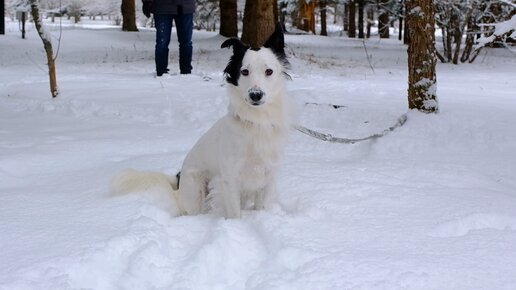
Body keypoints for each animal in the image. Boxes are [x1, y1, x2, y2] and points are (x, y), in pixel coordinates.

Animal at [112, 24, 290, 218]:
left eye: (269, 71)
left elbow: (261, 207)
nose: (255, 95)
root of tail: (178, 179)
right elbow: (234, 213)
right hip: (196, 191)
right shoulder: (230, 178)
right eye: (244, 71)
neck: (256, 121)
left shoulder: (267, 177)